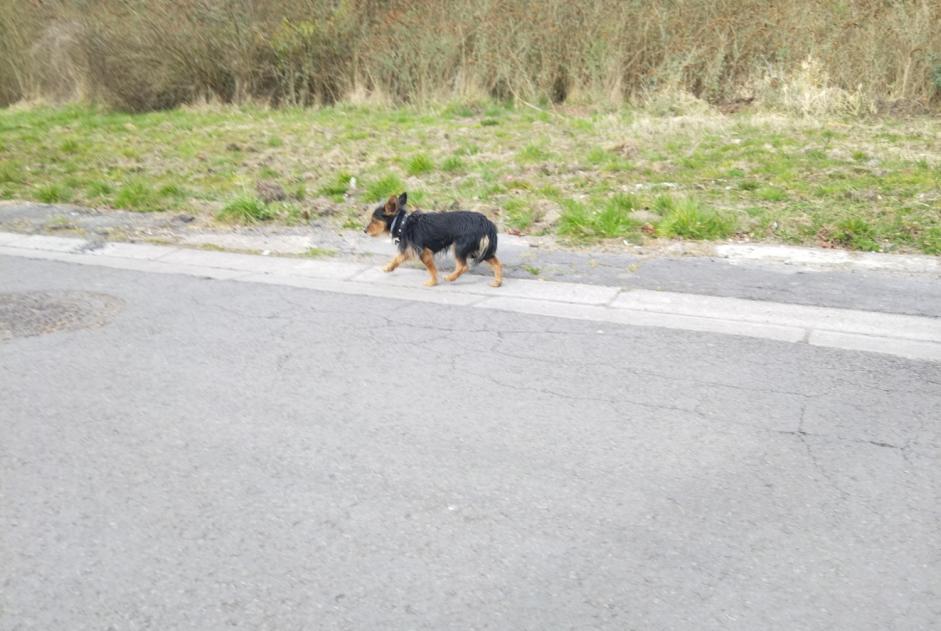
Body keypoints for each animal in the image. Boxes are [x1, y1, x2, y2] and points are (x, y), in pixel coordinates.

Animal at [364, 193, 504, 288]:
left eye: (373, 221)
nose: (364, 230)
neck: (403, 223)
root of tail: (486, 222)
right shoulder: (410, 249)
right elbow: (397, 258)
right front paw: (389, 267)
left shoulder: (424, 252)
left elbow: (431, 269)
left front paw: (433, 282)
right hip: (478, 249)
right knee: (497, 263)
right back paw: (497, 282)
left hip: (460, 246)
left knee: (463, 266)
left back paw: (450, 277)